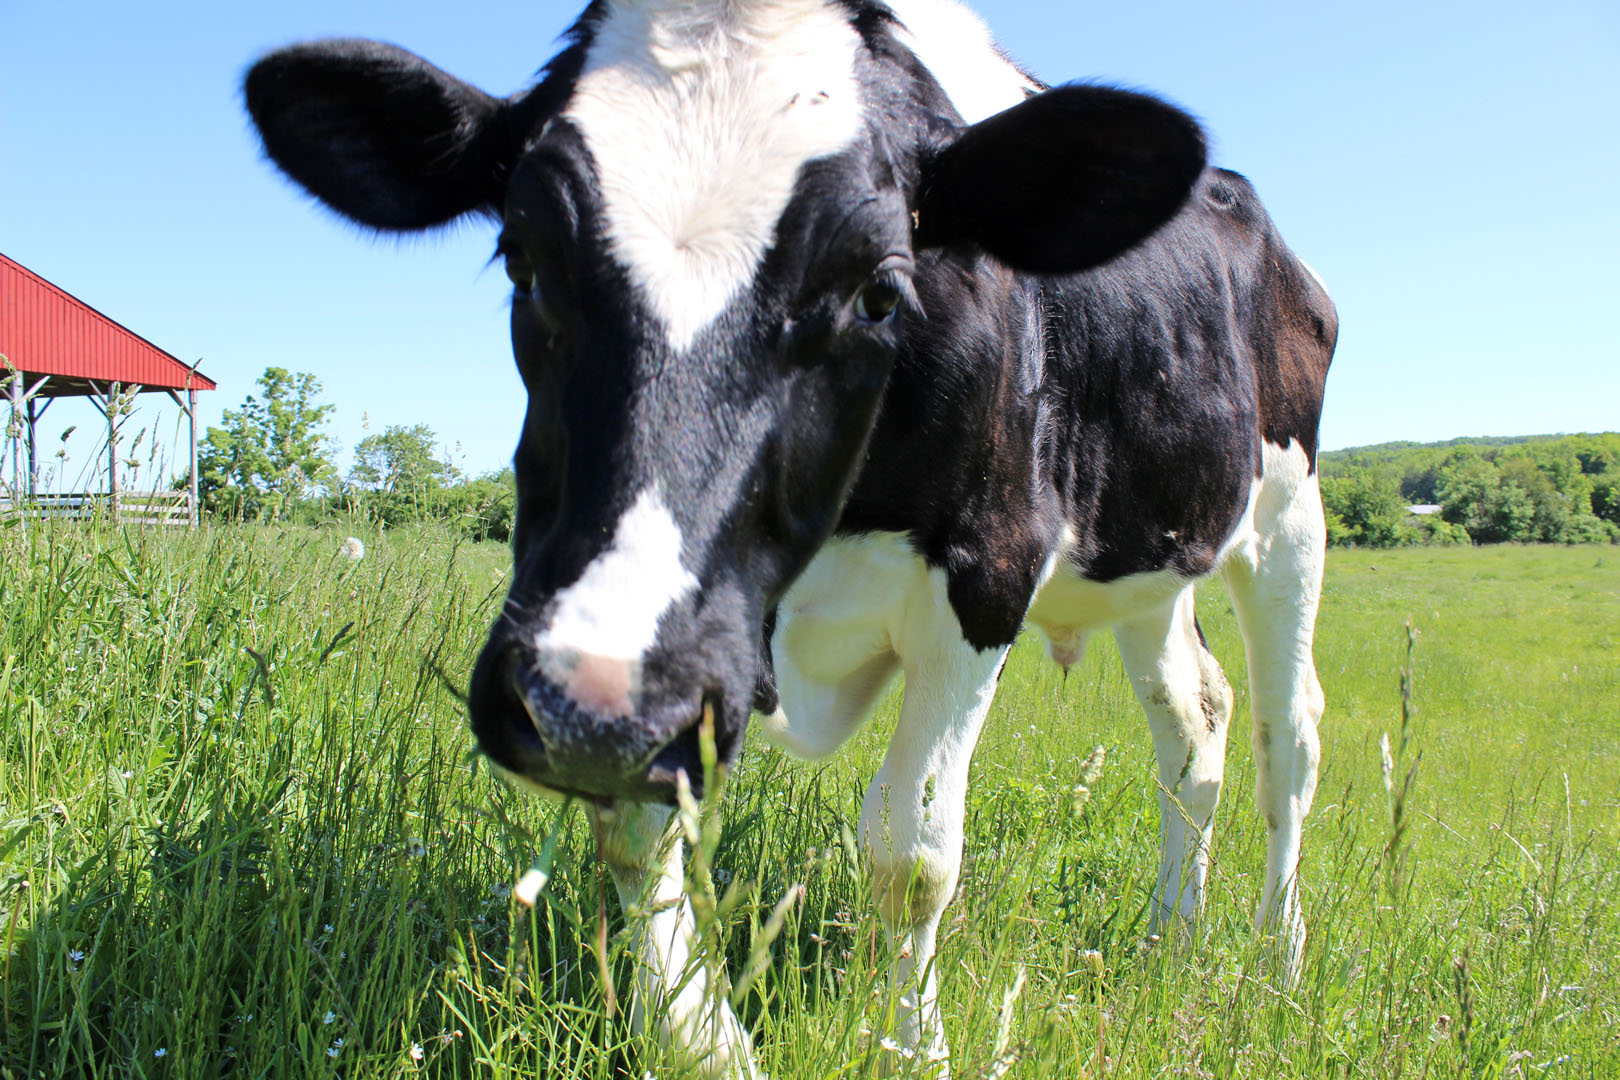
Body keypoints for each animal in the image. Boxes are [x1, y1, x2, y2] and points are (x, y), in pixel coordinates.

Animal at [245, 0, 1336, 1073]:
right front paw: (706, 1042)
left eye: (881, 290)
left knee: (1288, 736)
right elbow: (638, 830)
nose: (589, 702)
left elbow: (910, 852)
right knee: (1195, 723)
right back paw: (1169, 939)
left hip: (1289, 515)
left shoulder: (989, 567)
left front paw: (914, 1047)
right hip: (1152, 554)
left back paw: (1275, 961)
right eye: (524, 257)